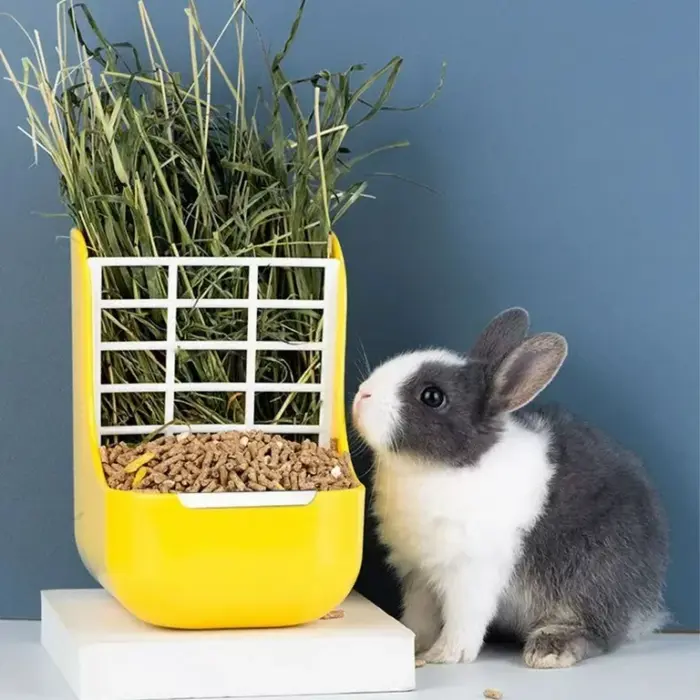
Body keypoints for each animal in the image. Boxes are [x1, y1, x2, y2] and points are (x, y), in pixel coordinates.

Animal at [352, 307, 669, 669]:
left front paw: (443, 655)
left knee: (596, 631)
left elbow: (464, 620)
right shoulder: (419, 575)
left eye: (432, 397)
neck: (439, 469)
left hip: (594, 578)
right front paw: (415, 647)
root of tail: (647, 602)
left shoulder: (472, 572)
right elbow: (420, 617)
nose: (362, 394)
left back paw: (549, 650)